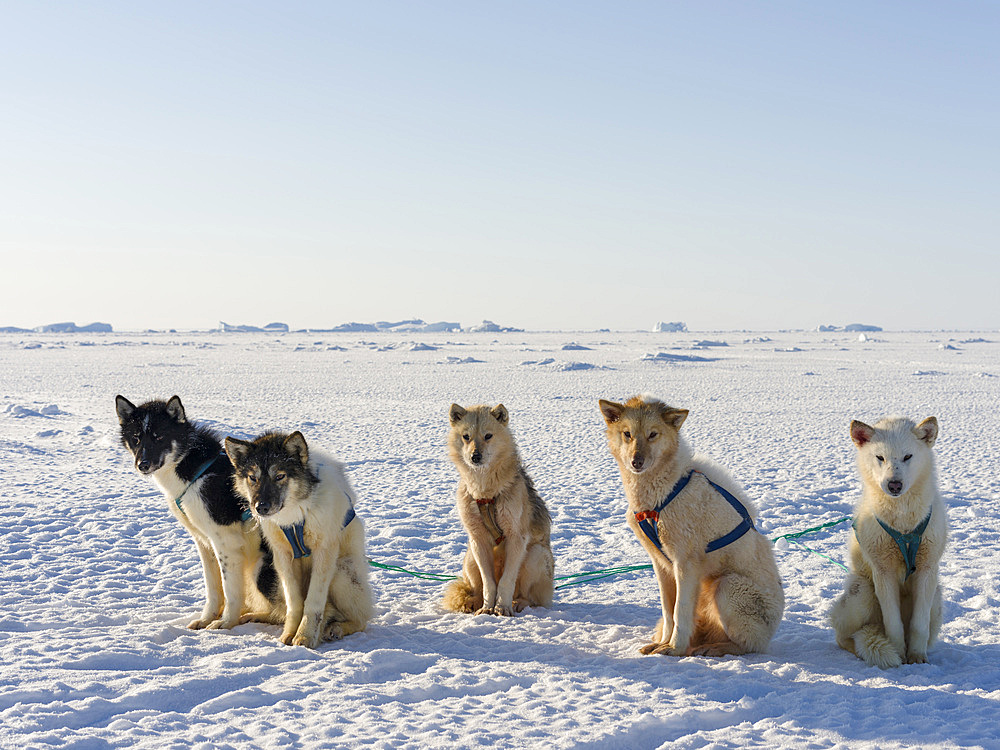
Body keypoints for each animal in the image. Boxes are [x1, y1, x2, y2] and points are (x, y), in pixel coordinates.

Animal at [115, 396, 284, 632]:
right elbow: (213, 588)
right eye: (136, 438)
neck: (195, 471)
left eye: (159, 437)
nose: (143, 464)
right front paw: (207, 618)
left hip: (260, 568)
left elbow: (230, 590)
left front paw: (226, 622)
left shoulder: (226, 542)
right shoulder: (204, 542)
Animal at [226, 432, 376, 648]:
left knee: (360, 619)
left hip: (341, 571)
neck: (295, 515)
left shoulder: (324, 553)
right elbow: (294, 603)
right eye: (253, 478)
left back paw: (336, 628)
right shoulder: (283, 557)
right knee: (280, 610)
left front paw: (305, 636)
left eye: (280, 476)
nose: (260, 507)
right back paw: (256, 616)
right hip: (267, 574)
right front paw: (289, 633)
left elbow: (313, 603)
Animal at [444, 406, 556, 616]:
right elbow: (489, 583)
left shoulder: (516, 537)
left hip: (535, 555)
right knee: (476, 590)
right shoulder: (477, 539)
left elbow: (505, 581)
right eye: (466, 436)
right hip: (470, 557)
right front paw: (488, 608)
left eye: (488, 436)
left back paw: (518, 603)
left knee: (529, 597)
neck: (485, 492)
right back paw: (474, 604)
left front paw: (502, 608)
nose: (475, 456)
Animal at [596, 396, 784, 656]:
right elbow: (668, 611)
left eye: (653, 434)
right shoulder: (662, 565)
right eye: (627, 434)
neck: (660, 495)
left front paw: (674, 648)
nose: (636, 461)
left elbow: (680, 611)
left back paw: (714, 648)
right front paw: (663, 643)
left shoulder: (686, 563)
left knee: (750, 645)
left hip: (727, 587)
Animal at [828, 418, 944, 668]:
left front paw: (917, 657)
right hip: (862, 592)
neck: (903, 524)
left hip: (937, 599)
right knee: (844, 635)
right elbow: (894, 624)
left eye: (908, 456)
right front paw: (898, 655)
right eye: (880, 457)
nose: (894, 485)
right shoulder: (883, 572)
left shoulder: (927, 570)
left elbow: (918, 625)